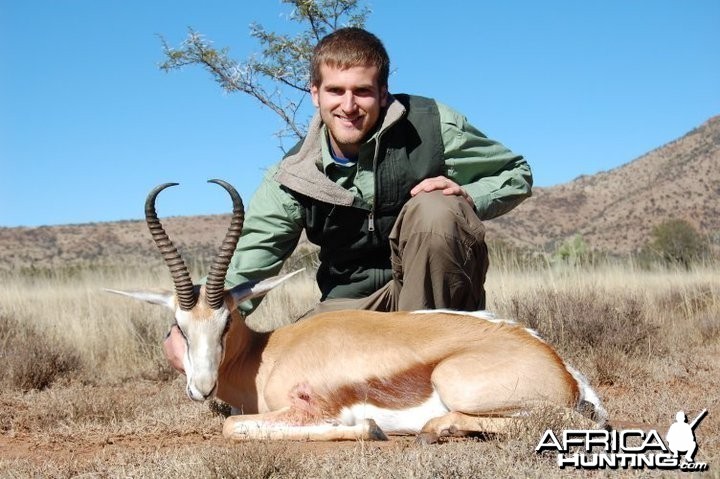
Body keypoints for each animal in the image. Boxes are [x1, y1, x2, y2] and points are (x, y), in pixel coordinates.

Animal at [111, 182, 608, 444]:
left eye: (226, 322)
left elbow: (234, 425)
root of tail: (562, 369)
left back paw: (433, 429)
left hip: (460, 385)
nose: (201, 387)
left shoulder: (309, 408)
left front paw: (368, 427)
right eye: (178, 327)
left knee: (562, 423)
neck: (265, 355)